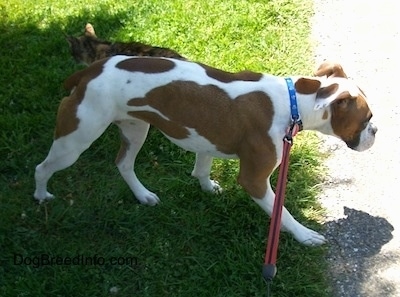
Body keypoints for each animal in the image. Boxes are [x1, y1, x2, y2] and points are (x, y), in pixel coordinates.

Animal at [32, 55, 376, 245]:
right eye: (367, 119)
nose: (376, 132)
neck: (293, 100)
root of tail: (89, 71)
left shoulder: (207, 138)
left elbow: (202, 166)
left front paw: (207, 186)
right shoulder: (255, 180)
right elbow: (283, 214)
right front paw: (305, 235)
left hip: (135, 128)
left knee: (124, 163)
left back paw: (143, 195)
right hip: (76, 138)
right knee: (42, 168)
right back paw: (41, 195)